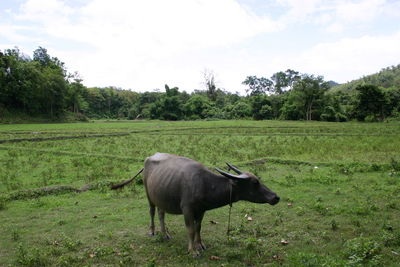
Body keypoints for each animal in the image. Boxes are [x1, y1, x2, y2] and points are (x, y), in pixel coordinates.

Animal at [111, 153, 280, 255]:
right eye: (255, 183)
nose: (275, 197)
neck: (205, 184)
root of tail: (148, 159)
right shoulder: (187, 209)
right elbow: (191, 229)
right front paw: (193, 251)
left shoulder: (202, 210)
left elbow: (198, 227)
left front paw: (200, 245)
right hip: (148, 195)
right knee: (152, 212)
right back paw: (152, 231)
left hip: (161, 196)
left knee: (161, 214)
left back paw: (165, 234)